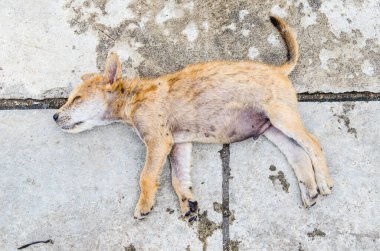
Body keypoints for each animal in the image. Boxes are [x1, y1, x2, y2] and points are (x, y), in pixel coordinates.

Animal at [53, 16, 332, 220]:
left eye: (77, 98)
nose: (54, 116)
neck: (134, 97)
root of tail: (279, 70)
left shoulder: (158, 142)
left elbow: (146, 175)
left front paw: (144, 205)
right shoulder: (179, 144)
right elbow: (178, 178)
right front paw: (188, 203)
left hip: (282, 117)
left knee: (313, 143)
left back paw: (324, 182)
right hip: (273, 129)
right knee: (298, 153)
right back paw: (310, 191)